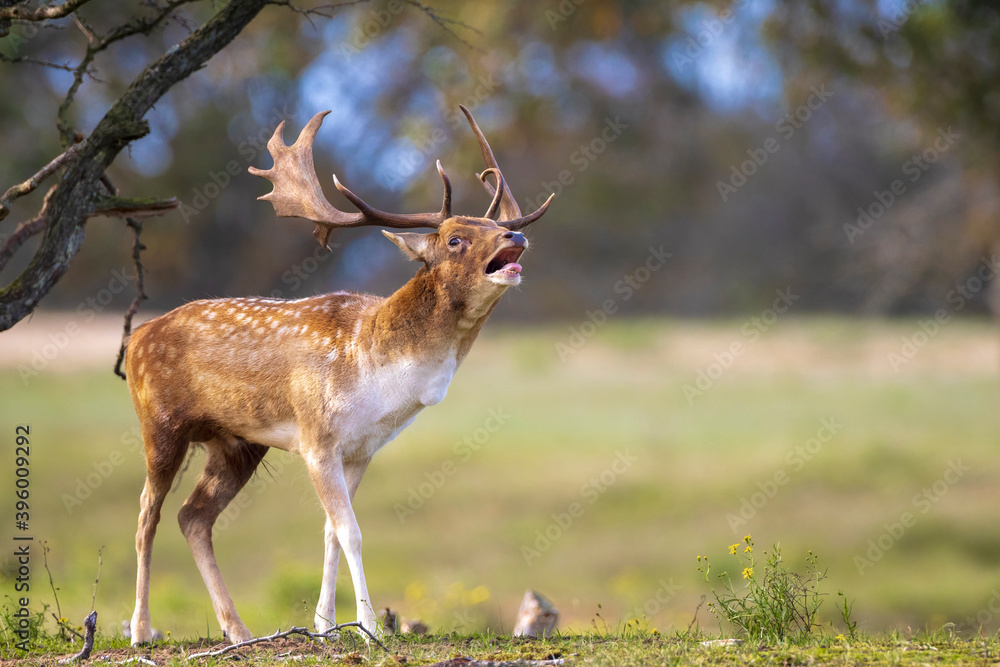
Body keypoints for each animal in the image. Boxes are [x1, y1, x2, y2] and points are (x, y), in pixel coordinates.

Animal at [124, 105, 552, 646]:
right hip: (160, 424)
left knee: (193, 516)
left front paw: (326, 626)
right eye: (456, 239)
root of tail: (136, 337)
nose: (515, 235)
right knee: (147, 513)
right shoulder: (317, 437)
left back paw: (238, 631)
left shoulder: (361, 449)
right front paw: (369, 628)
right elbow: (351, 531)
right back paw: (140, 630)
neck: (375, 372)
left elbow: (331, 530)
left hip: (237, 443)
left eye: (493, 223)